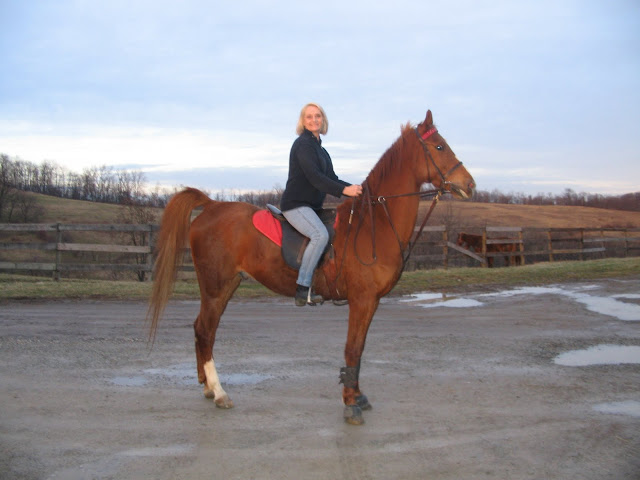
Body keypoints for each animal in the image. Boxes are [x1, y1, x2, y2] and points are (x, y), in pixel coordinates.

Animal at [146, 109, 476, 424]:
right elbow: (352, 348)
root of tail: (212, 205)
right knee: (205, 330)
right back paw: (219, 392)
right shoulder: (362, 300)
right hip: (216, 286)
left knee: (203, 330)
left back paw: (206, 386)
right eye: (439, 146)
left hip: (228, 284)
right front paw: (350, 404)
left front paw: (357, 396)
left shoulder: (371, 302)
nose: (470, 185)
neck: (373, 224)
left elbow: (360, 349)